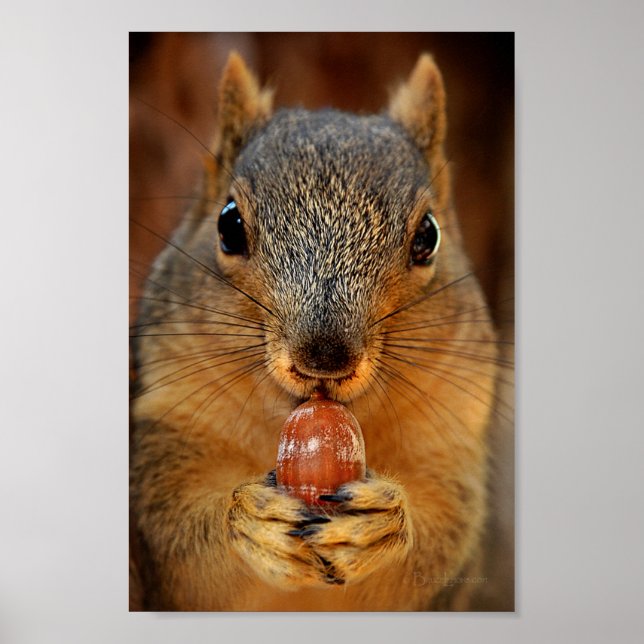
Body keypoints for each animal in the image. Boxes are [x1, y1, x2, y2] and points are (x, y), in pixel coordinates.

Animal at [130, 51, 509, 611]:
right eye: (228, 225)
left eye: (429, 235)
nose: (324, 357)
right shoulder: (169, 429)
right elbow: (179, 541)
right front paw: (248, 520)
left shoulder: (451, 444)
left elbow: (436, 551)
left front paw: (382, 525)